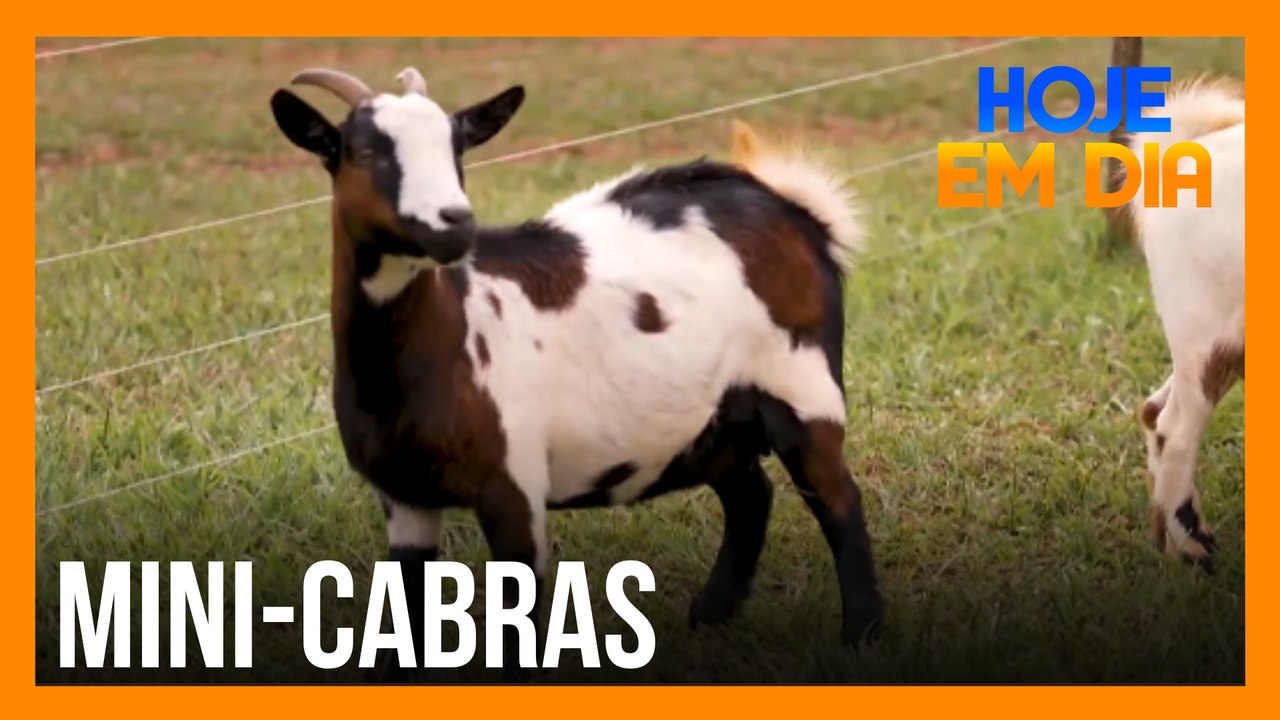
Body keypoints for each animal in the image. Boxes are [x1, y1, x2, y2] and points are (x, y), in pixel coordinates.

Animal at [269, 66, 882, 679]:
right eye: (366, 151)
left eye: (457, 147)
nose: (454, 224)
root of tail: (795, 209)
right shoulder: (403, 496)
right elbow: (404, 610)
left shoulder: (513, 482)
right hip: (714, 424)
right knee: (750, 494)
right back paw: (709, 616)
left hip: (803, 388)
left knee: (838, 503)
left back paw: (861, 635)